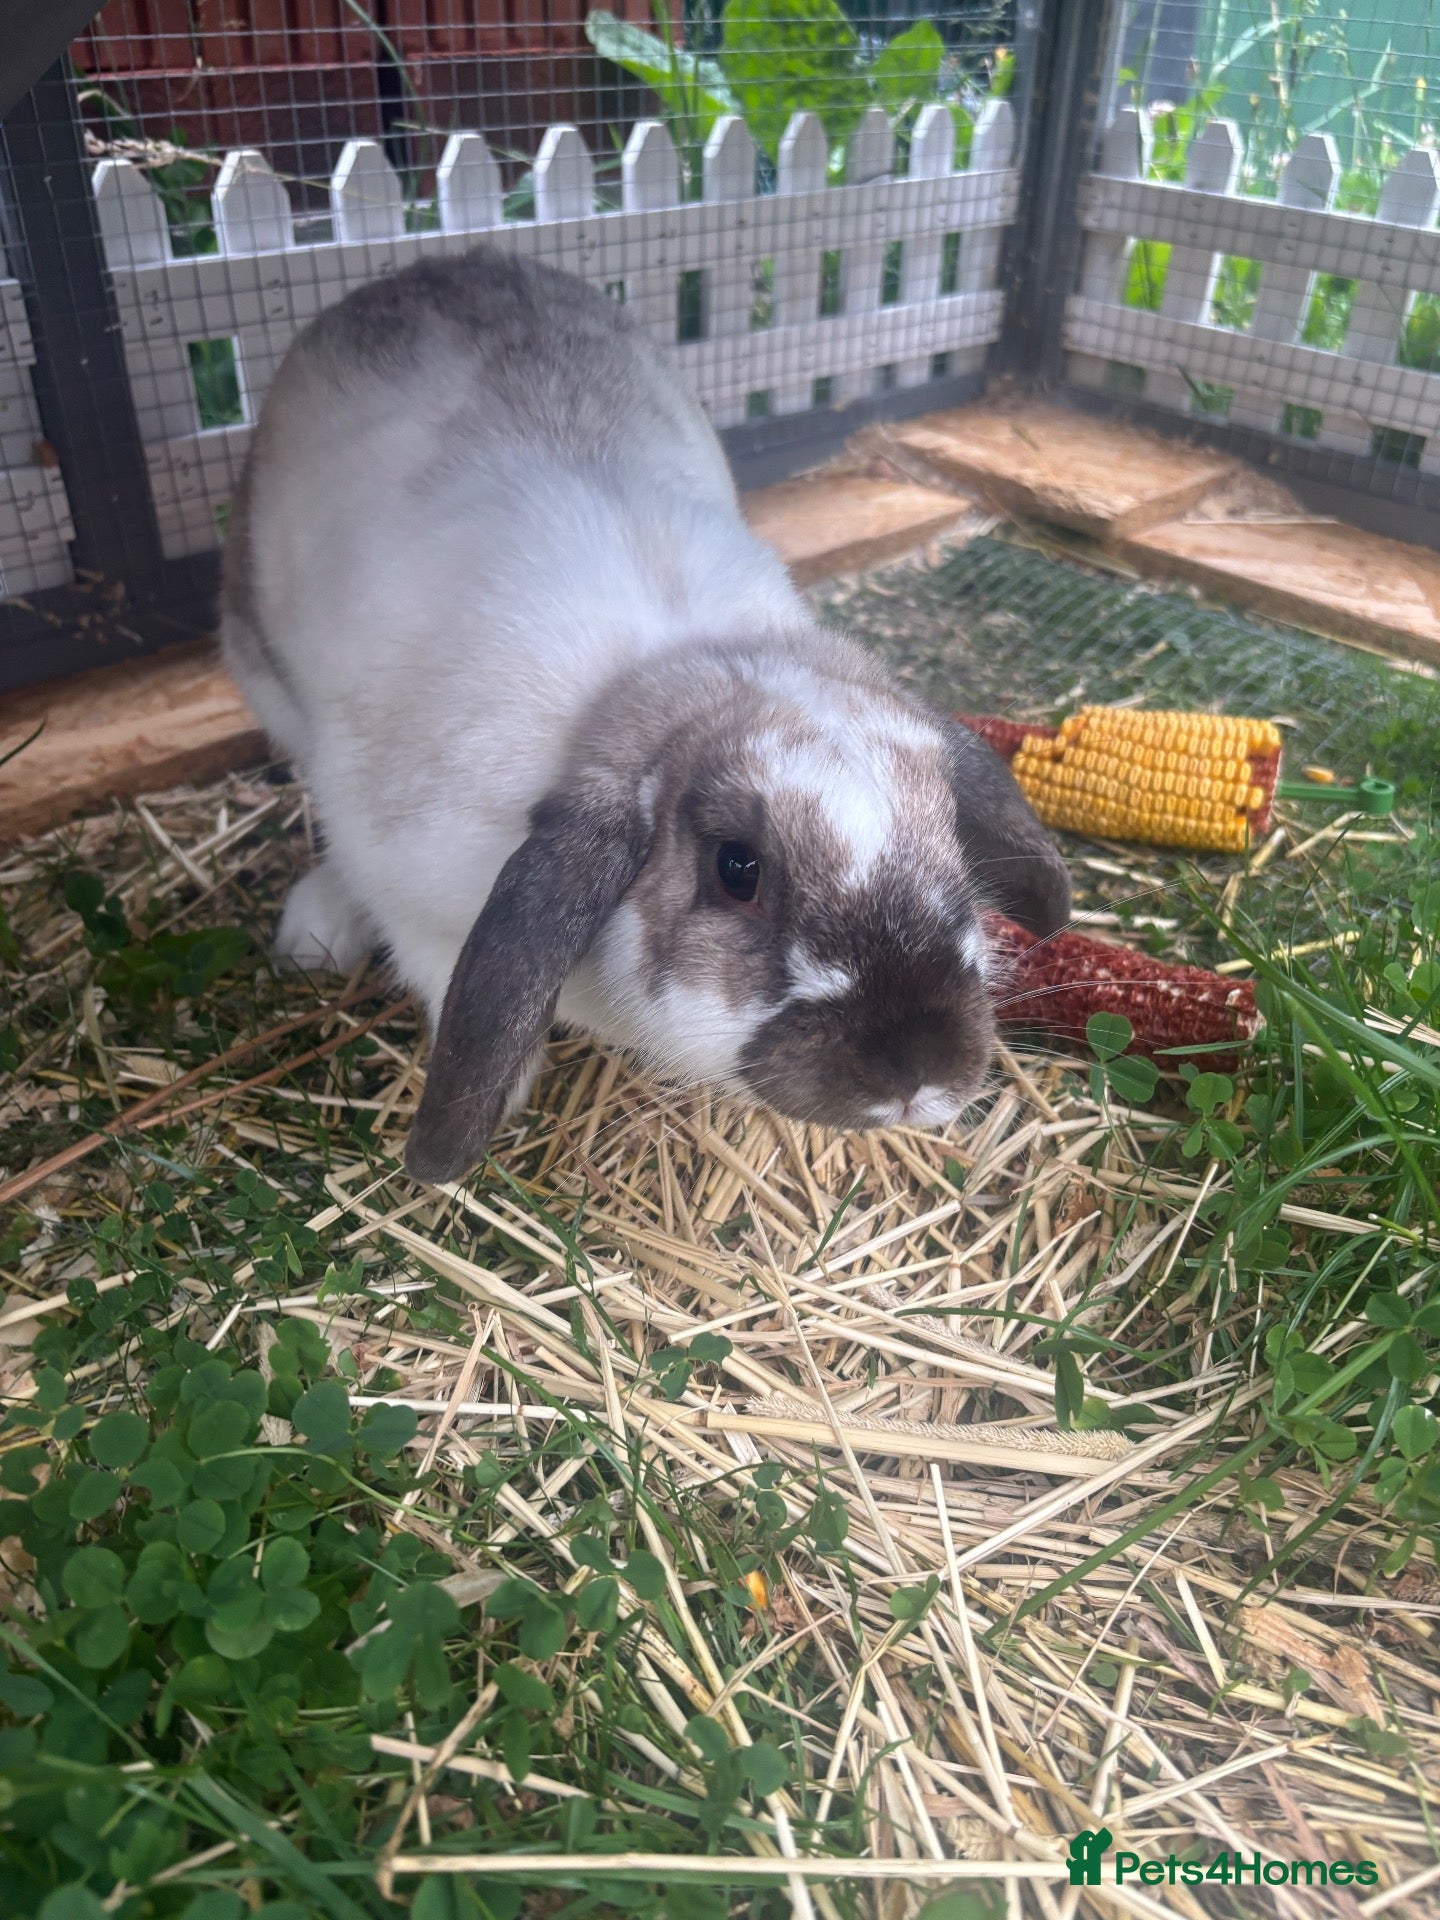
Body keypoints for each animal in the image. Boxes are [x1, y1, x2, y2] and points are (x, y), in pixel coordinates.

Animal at [221, 247, 1071, 1184]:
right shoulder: (407, 886)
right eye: (737, 869)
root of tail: (434, 263)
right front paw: (505, 1093)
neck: (681, 661)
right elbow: (439, 971)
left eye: (951, 839)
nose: (918, 1073)